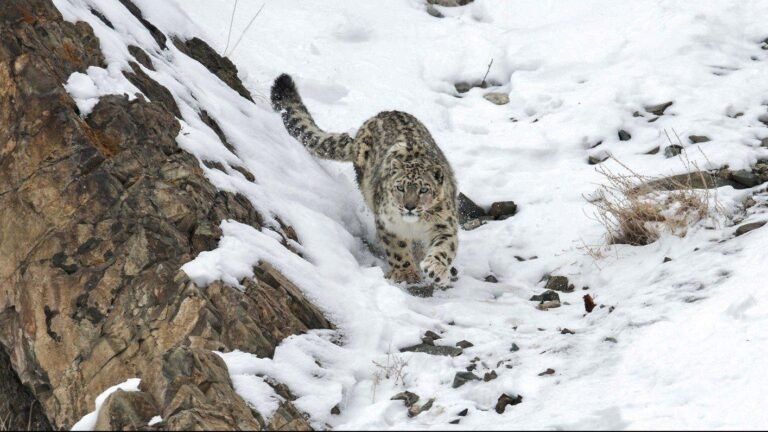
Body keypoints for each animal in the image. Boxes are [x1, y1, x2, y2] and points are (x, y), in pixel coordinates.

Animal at [270, 74, 458, 287]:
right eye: (400, 188)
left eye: (424, 190)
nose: (409, 206)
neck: (413, 225)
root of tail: (379, 115)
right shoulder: (387, 223)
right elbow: (397, 248)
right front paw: (405, 273)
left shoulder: (444, 224)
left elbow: (443, 248)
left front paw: (436, 270)